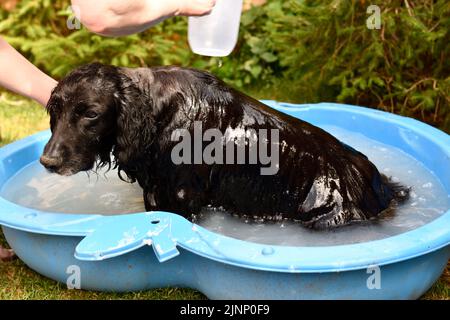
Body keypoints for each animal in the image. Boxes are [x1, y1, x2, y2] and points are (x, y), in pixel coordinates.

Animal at [40, 63, 410, 228]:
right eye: (54, 110)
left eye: (90, 113)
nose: (48, 162)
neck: (160, 113)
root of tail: (379, 186)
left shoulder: (182, 196)